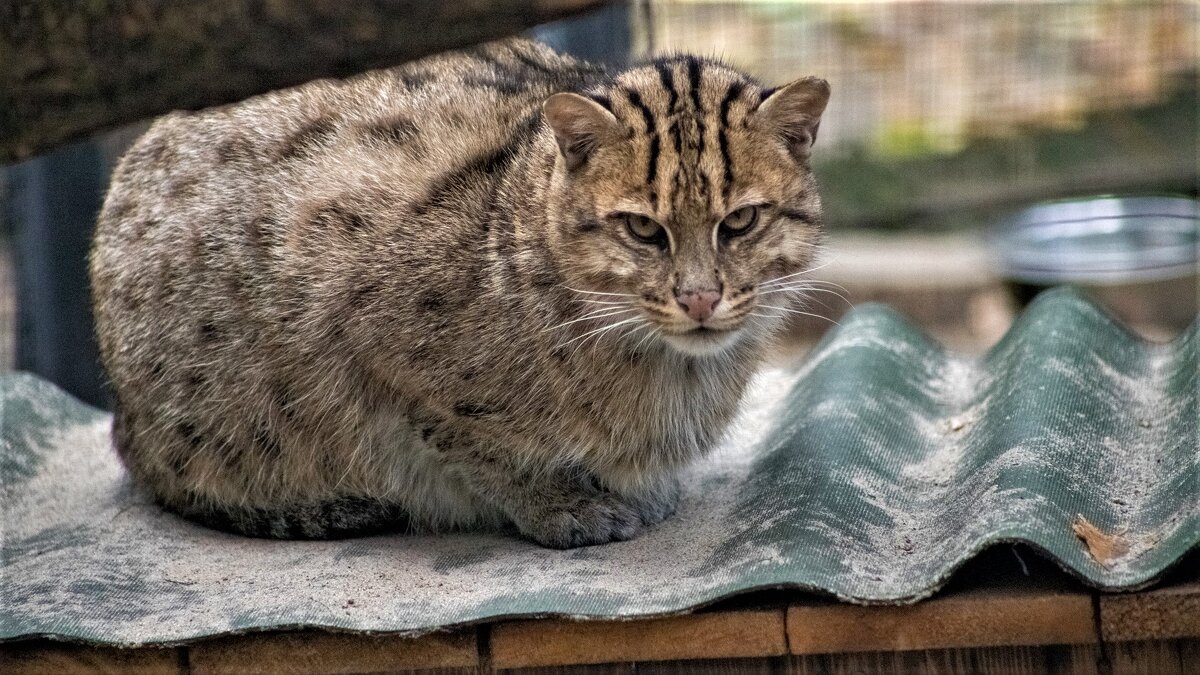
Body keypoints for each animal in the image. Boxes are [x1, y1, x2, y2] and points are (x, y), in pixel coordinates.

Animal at [88, 36, 830, 547]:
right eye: (644, 229)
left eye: (741, 221)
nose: (700, 298)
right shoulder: (363, 332)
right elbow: (476, 443)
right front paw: (563, 504)